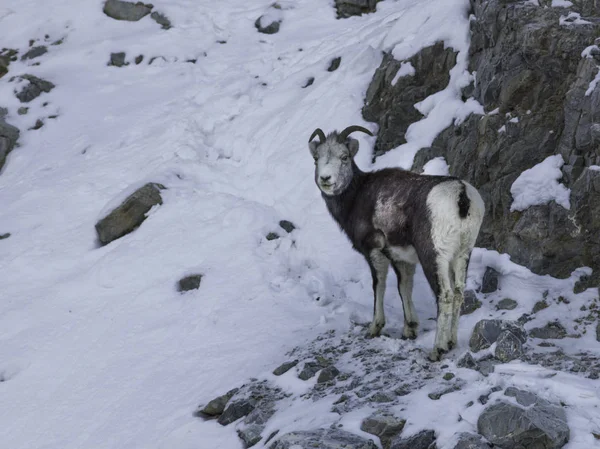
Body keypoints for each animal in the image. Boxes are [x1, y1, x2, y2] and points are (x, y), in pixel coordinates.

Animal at [308, 126, 486, 360]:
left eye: (344, 157)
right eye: (316, 158)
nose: (325, 178)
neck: (356, 197)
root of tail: (461, 196)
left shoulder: (375, 251)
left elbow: (379, 286)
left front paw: (375, 328)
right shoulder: (403, 259)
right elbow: (404, 287)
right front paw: (410, 329)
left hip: (433, 256)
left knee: (445, 296)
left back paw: (437, 350)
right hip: (462, 254)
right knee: (458, 293)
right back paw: (451, 343)